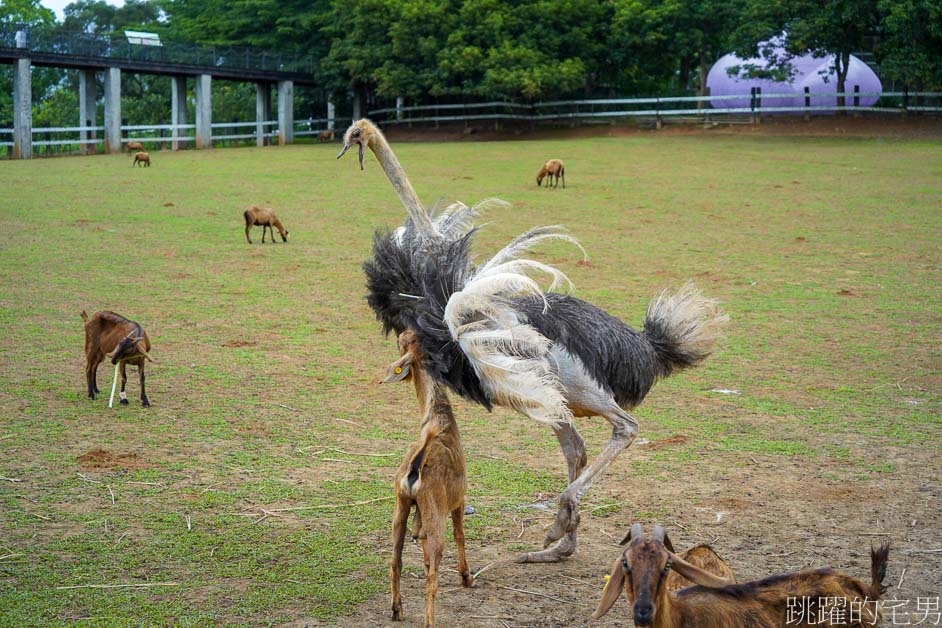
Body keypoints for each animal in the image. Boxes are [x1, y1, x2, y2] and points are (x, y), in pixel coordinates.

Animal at [384, 332, 472, 624]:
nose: (401, 335)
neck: (438, 415)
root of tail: (415, 469)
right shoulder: (457, 499)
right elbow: (460, 534)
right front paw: (466, 577)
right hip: (435, 515)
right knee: (433, 576)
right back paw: (429, 620)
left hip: (400, 506)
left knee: (395, 561)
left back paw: (396, 609)